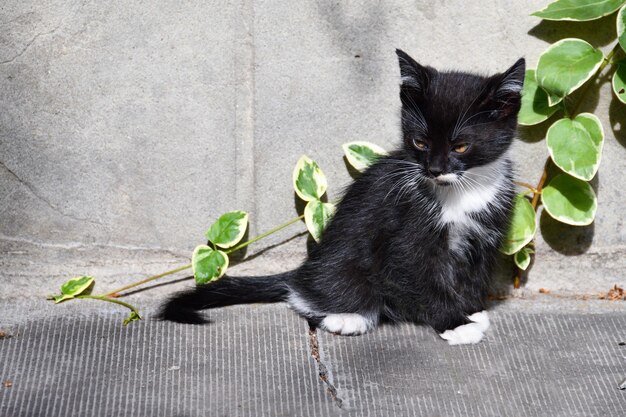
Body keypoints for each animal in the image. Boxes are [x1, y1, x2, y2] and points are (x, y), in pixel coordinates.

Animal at [160, 48, 520, 344]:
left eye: (460, 146)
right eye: (420, 142)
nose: (433, 169)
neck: (462, 190)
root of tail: (303, 272)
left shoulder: (485, 231)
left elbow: (475, 274)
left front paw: (471, 310)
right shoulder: (405, 231)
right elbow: (422, 277)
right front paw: (454, 323)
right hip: (342, 264)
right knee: (306, 295)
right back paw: (346, 316)